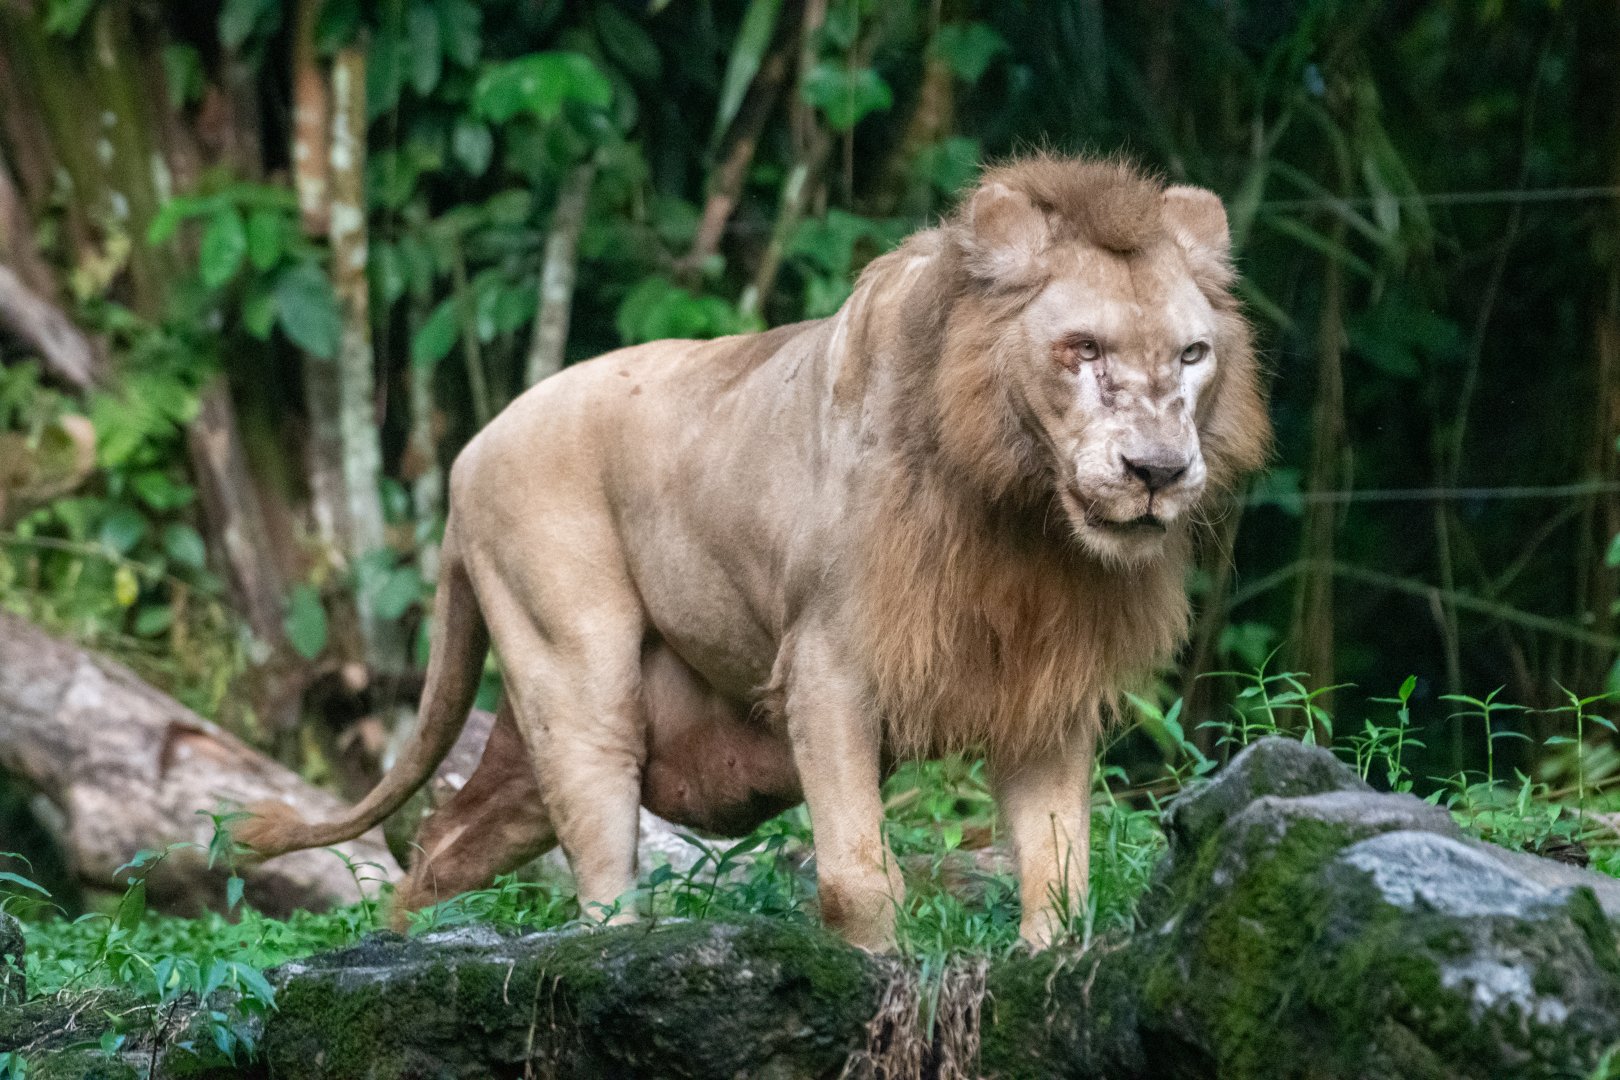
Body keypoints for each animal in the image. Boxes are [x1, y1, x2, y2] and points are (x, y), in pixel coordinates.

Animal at [239, 155, 1270, 950]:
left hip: (525, 749)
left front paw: (1048, 964)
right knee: (598, 864)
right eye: (1082, 347)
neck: (1020, 511)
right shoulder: (827, 667)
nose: (1157, 471)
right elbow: (856, 875)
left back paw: (398, 942)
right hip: (572, 669)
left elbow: (1058, 867)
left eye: (1191, 355)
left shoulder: (1044, 688)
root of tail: (467, 453)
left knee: (443, 843)